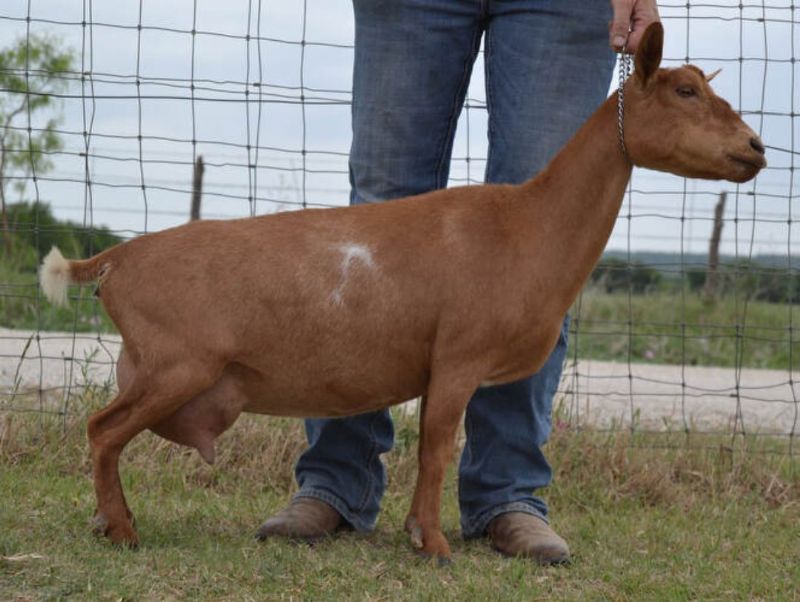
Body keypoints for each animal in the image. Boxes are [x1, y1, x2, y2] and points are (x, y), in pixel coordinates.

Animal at [42, 23, 764, 556]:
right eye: (685, 90)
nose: (756, 148)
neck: (525, 224)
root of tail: (116, 257)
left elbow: (438, 449)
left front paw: (426, 535)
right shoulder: (458, 357)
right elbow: (439, 448)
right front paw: (432, 542)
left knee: (106, 430)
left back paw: (110, 522)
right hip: (176, 362)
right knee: (102, 430)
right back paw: (122, 529)